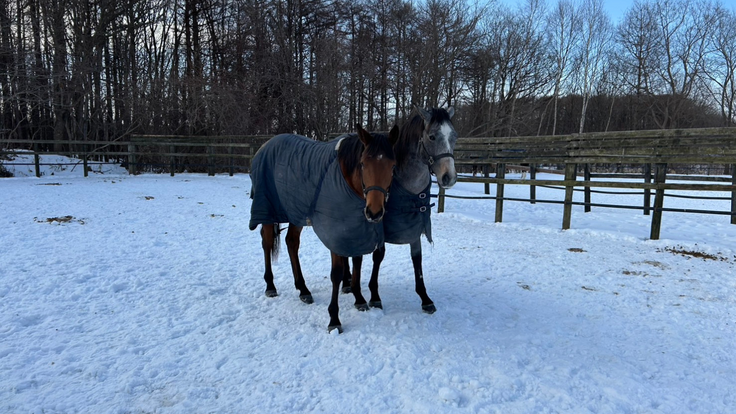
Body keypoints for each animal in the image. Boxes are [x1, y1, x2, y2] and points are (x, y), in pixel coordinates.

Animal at [248, 124, 399, 333]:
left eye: (392, 166)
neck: (345, 178)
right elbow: (336, 273)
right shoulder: (335, 231)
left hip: (296, 213)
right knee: (267, 243)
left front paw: (359, 299)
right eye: (362, 164)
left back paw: (303, 290)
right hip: (268, 211)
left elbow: (357, 261)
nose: (374, 212)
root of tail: (265, 146)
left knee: (291, 243)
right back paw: (270, 286)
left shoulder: (354, 228)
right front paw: (334, 319)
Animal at [349, 106, 457, 314]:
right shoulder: (381, 226)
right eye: (432, 137)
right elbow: (378, 256)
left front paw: (425, 298)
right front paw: (374, 296)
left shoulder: (415, 226)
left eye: (454, 136)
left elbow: (417, 258)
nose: (449, 177)